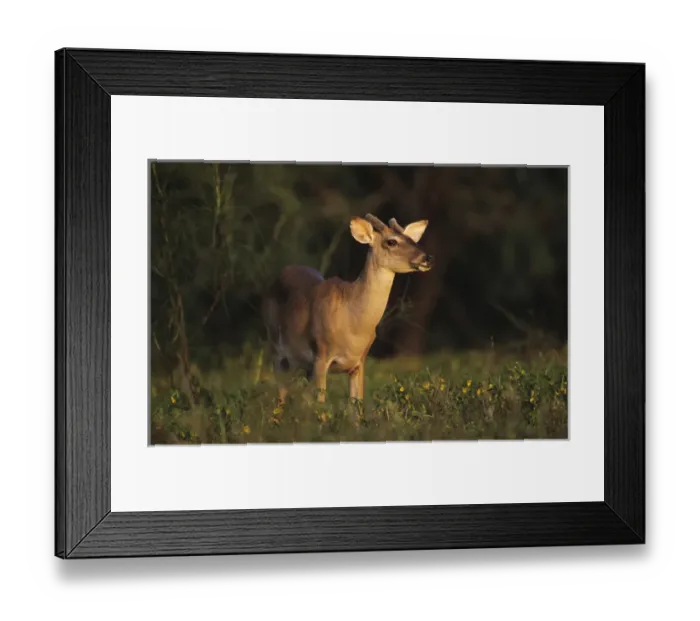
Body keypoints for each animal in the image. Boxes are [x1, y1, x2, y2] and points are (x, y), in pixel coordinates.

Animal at [261, 213, 433, 415]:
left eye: (412, 239)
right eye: (391, 241)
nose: (427, 258)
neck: (354, 322)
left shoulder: (359, 362)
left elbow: (356, 409)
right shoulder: (321, 354)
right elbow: (321, 406)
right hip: (276, 348)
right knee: (280, 397)